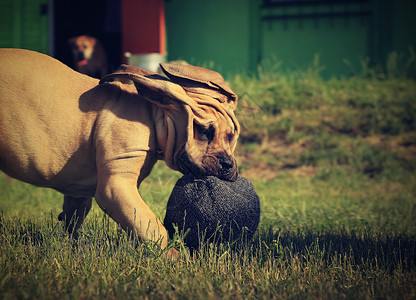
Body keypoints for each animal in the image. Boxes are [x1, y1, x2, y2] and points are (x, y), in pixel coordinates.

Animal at [0, 49, 240, 258]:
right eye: (204, 131)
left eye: (230, 136)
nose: (228, 164)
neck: (152, 113)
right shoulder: (116, 186)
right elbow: (152, 227)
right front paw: (172, 257)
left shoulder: (79, 190)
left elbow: (75, 216)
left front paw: (74, 246)